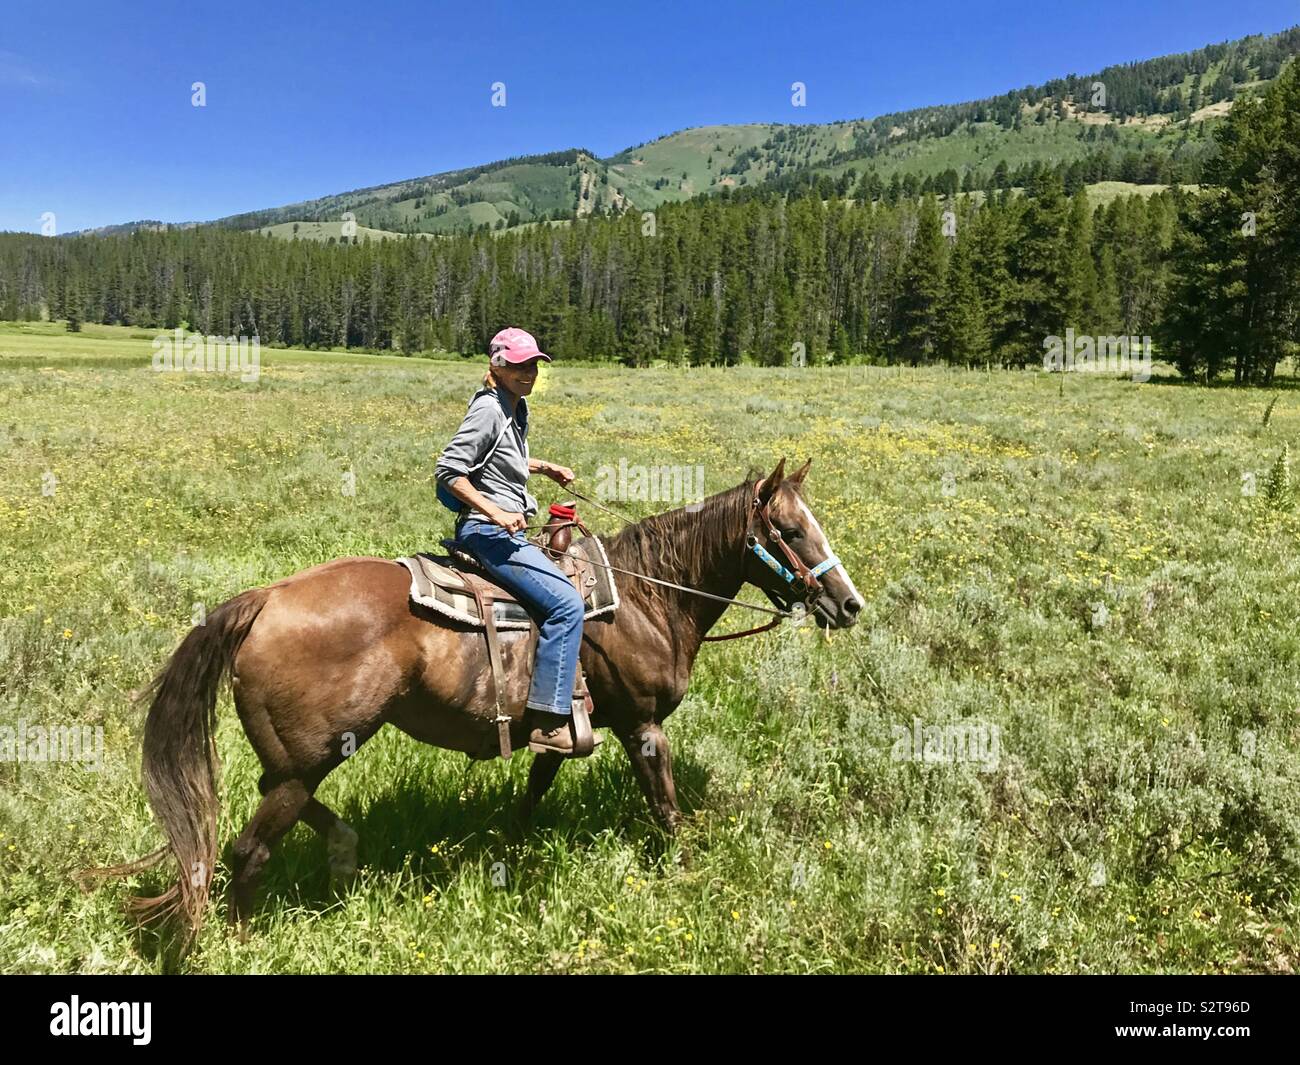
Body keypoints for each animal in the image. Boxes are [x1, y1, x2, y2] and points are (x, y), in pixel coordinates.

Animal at [84, 456, 864, 948]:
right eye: (792, 531)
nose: (850, 603)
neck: (649, 597)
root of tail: (263, 599)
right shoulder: (642, 726)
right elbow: (667, 809)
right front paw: (688, 876)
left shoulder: (564, 725)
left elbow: (536, 788)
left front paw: (509, 847)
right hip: (313, 757)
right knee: (248, 848)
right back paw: (247, 935)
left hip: (303, 757)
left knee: (275, 800)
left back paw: (344, 846)